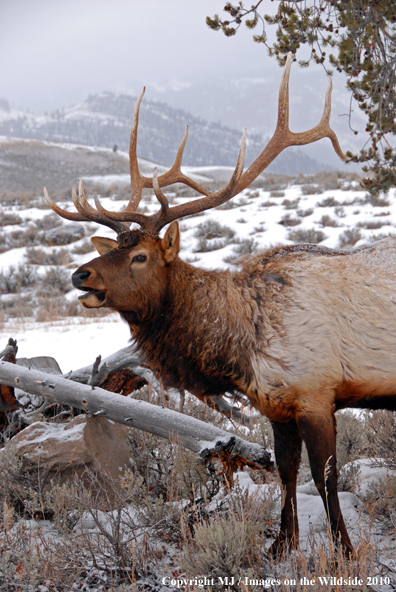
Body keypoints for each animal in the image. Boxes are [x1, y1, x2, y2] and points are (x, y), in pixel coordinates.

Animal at [44, 53, 392, 556]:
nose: (79, 274)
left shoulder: (316, 392)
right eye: (113, 247)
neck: (238, 351)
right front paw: (281, 545)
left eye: (140, 256)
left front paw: (344, 551)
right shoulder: (277, 405)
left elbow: (326, 478)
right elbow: (286, 471)